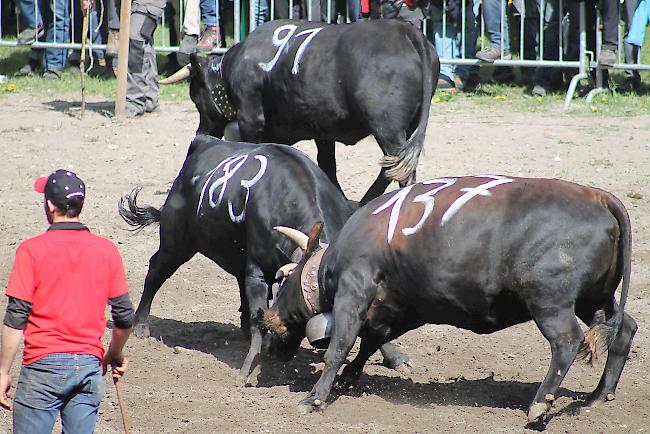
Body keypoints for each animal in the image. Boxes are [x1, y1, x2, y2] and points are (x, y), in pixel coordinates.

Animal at [118, 136, 408, 380]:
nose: (282, 352)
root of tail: (203, 142)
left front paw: (394, 355)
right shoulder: (256, 273)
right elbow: (259, 316)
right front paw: (250, 365)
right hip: (177, 241)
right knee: (156, 271)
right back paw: (141, 325)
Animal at [159, 17, 438, 204]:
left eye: (196, 97)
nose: (200, 132)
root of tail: (404, 30)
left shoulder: (251, 120)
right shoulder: (323, 130)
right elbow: (327, 165)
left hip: (386, 127)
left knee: (401, 171)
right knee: (392, 167)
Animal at [262, 175, 632, 422]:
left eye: (283, 279)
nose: (267, 319)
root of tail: (599, 197)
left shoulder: (354, 290)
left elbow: (339, 347)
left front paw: (315, 397)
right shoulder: (403, 307)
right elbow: (371, 340)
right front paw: (348, 379)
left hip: (550, 302)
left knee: (567, 341)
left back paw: (541, 403)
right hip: (595, 299)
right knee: (624, 329)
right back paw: (599, 395)